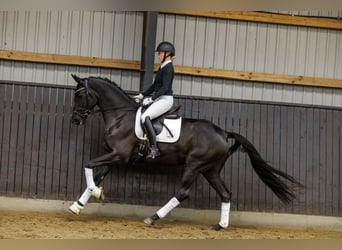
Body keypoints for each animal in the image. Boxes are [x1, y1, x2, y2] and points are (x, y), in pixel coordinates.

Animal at [68, 74, 300, 230]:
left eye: (80, 96)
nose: (76, 120)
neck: (120, 117)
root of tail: (223, 133)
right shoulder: (113, 156)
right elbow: (96, 175)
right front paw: (78, 205)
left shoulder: (119, 155)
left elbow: (88, 164)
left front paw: (94, 194)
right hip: (210, 170)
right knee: (225, 193)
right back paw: (220, 225)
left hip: (195, 165)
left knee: (183, 193)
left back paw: (153, 217)